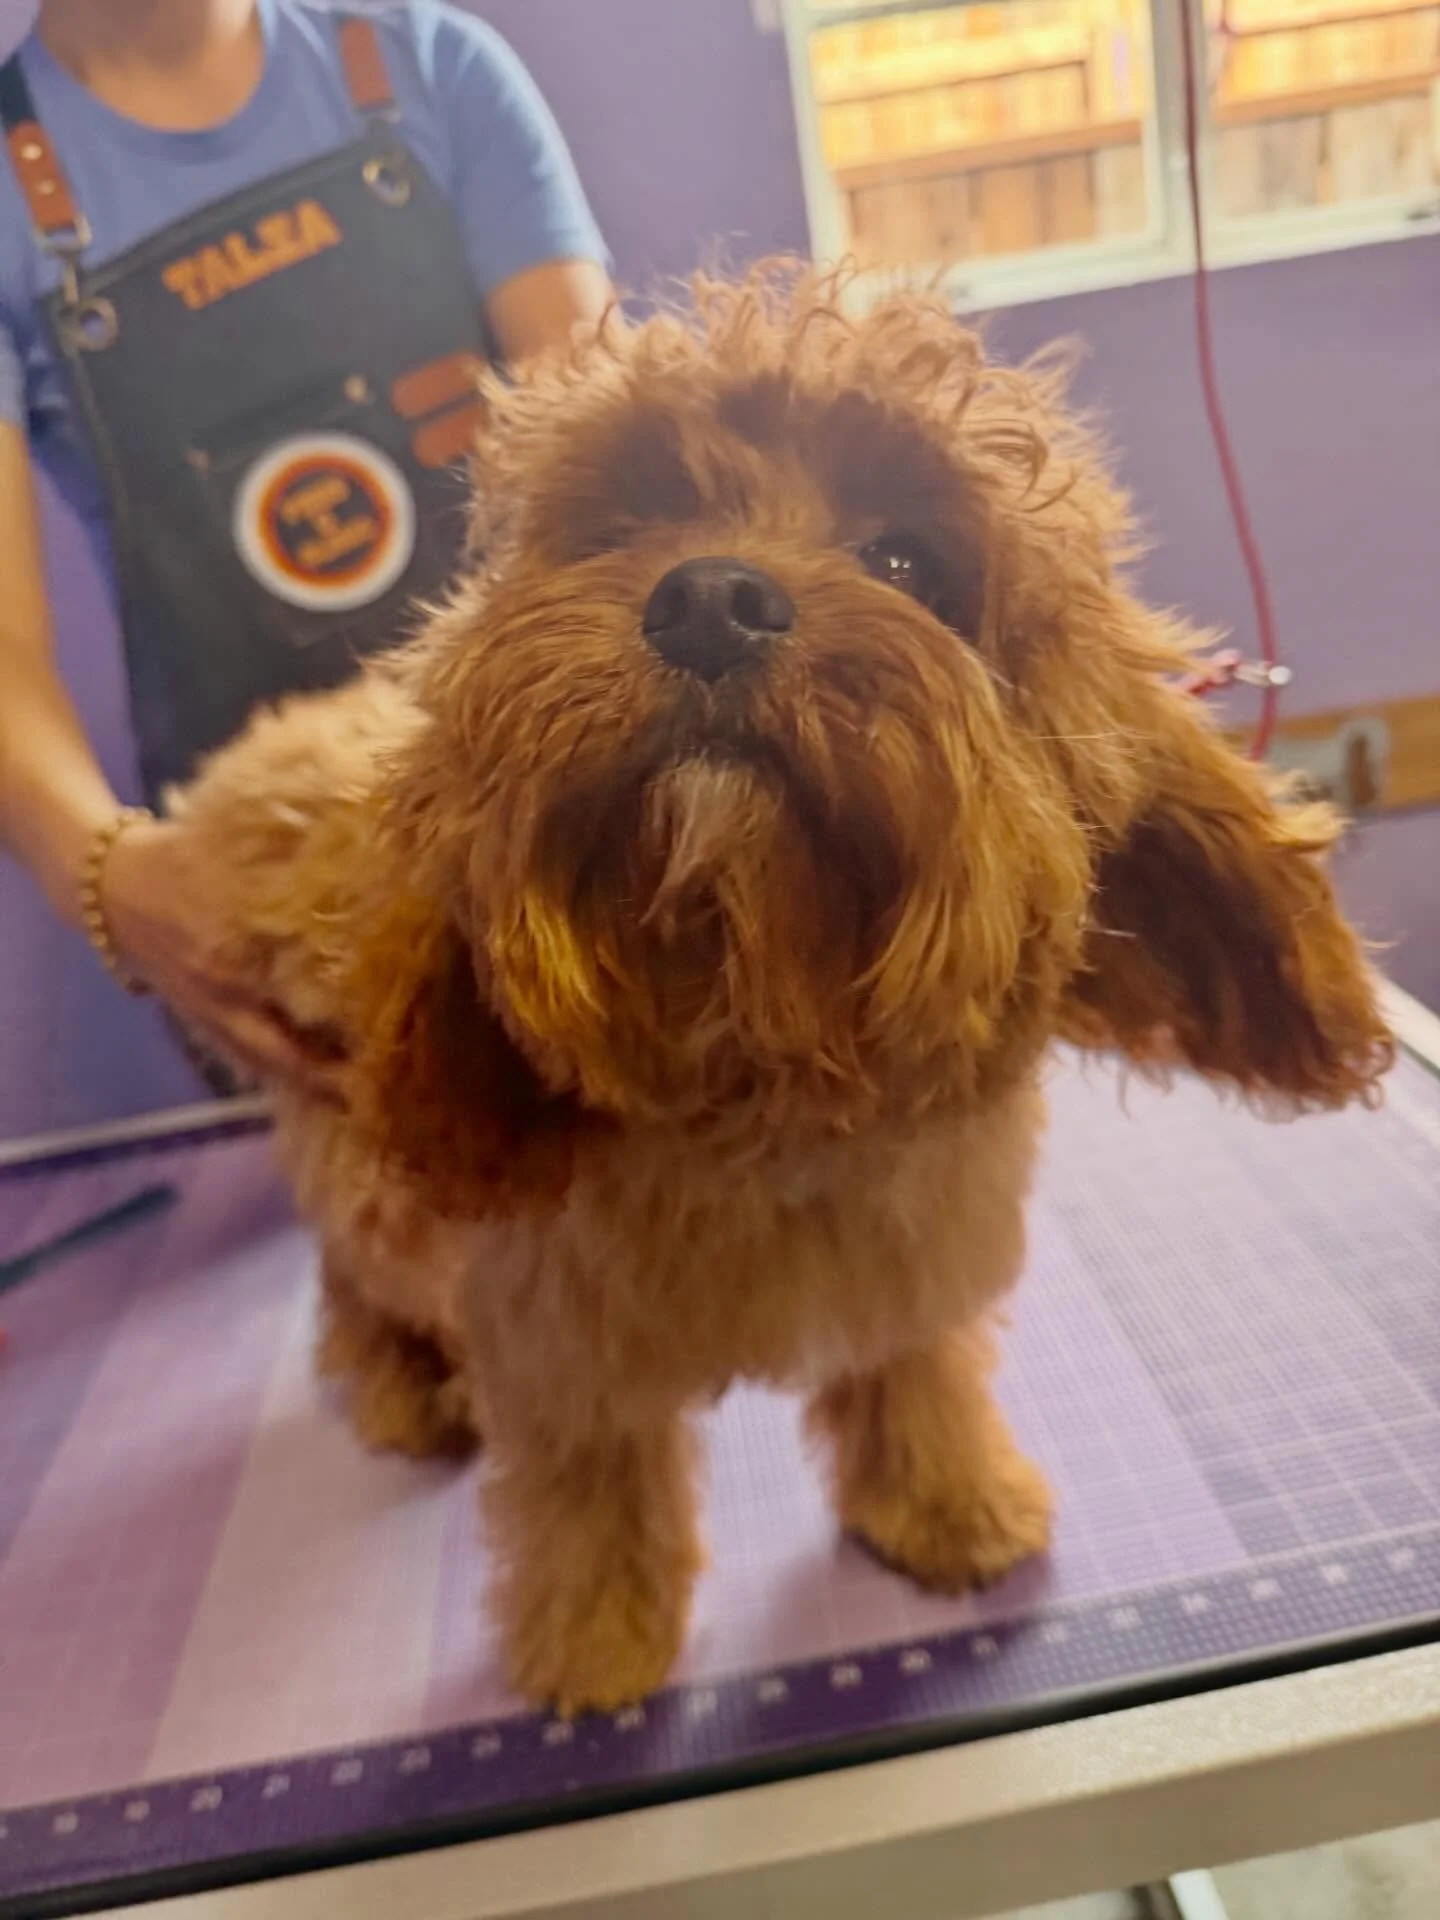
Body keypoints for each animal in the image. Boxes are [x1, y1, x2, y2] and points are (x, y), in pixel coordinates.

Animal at [174, 263, 1393, 1715]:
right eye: (628, 522)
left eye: (909, 561)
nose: (710, 596)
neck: (754, 1052)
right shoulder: (552, 1343)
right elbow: (587, 1484)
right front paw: (595, 1639)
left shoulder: (912, 1252)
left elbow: (913, 1368)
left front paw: (947, 1501)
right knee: (357, 1270)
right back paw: (402, 1383)